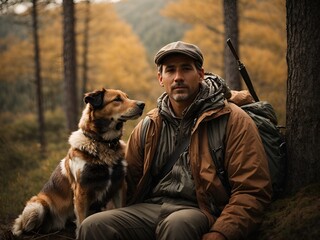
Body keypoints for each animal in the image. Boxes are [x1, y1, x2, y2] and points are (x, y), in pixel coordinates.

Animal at [12, 87, 145, 236]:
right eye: (117, 99)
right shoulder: (82, 191)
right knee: (23, 228)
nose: (142, 104)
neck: (103, 143)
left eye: (127, 97)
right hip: (37, 207)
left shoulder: (119, 186)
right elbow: (82, 222)